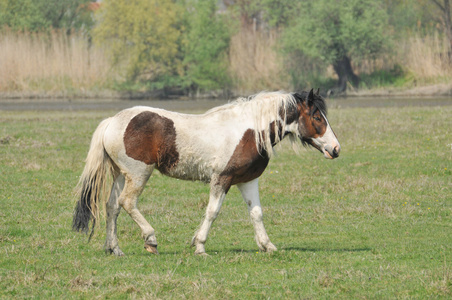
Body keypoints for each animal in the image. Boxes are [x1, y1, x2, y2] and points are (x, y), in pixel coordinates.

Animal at [71, 89, 340, 255]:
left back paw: (114, 248)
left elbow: (256, 214)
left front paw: (267, 246)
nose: (336, 149)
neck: (249, 131)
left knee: (111, 207)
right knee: (127, 202)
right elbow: (212, 212)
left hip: (120, 174)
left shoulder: (247, 181)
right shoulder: (222, 179)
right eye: (317, 117)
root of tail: (112, 121)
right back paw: (151, 240)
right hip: (139, 174)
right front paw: (199, 246)